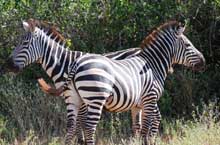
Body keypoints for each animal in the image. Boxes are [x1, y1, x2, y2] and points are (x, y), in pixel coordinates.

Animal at [6, 19, 144, 144]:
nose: (8, 65)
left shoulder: (81, 100)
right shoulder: (73, 97)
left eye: (25, 43)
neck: (65, 64)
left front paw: (81, 140)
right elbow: (77, 122)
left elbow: (80, 122)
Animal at [50, 20, 205, 145]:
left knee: (70, 126)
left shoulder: (137, 105)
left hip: (73, 98)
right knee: (89, 128)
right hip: (95, 99)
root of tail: (76, 62)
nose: (203, 62)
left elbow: (137, 127)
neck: (153, 65)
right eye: (188, 45)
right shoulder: (149, 100)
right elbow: (145, 129)